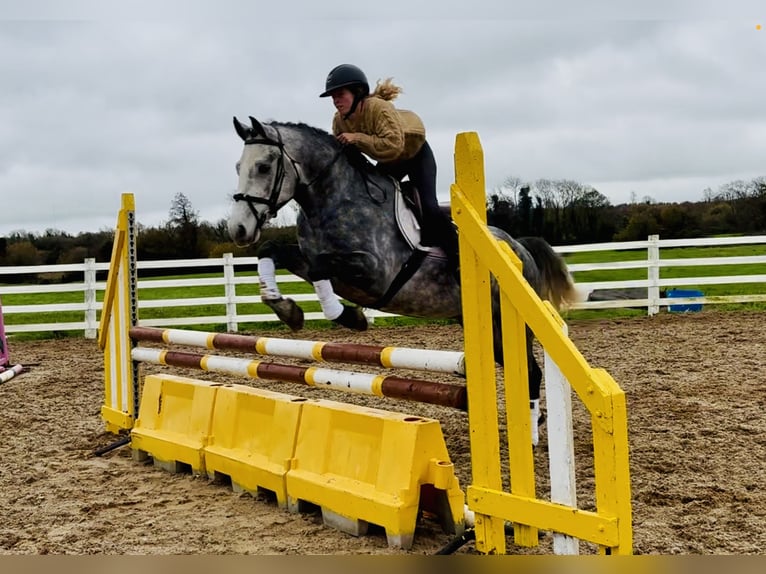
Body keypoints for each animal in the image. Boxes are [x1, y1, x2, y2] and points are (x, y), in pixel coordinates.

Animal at [227, 116, 577, 441]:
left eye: (263, 166)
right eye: (238, 166)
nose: (239, 230)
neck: (333, 200)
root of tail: (520, 247)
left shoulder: (374, 271)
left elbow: (318, 269)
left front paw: (349, 317)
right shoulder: (311, 259)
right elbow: (272, 250)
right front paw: (284, 308)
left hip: (509, 321)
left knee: (531, 372)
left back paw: (531, 436)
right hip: (482, 325)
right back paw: (533, 423)